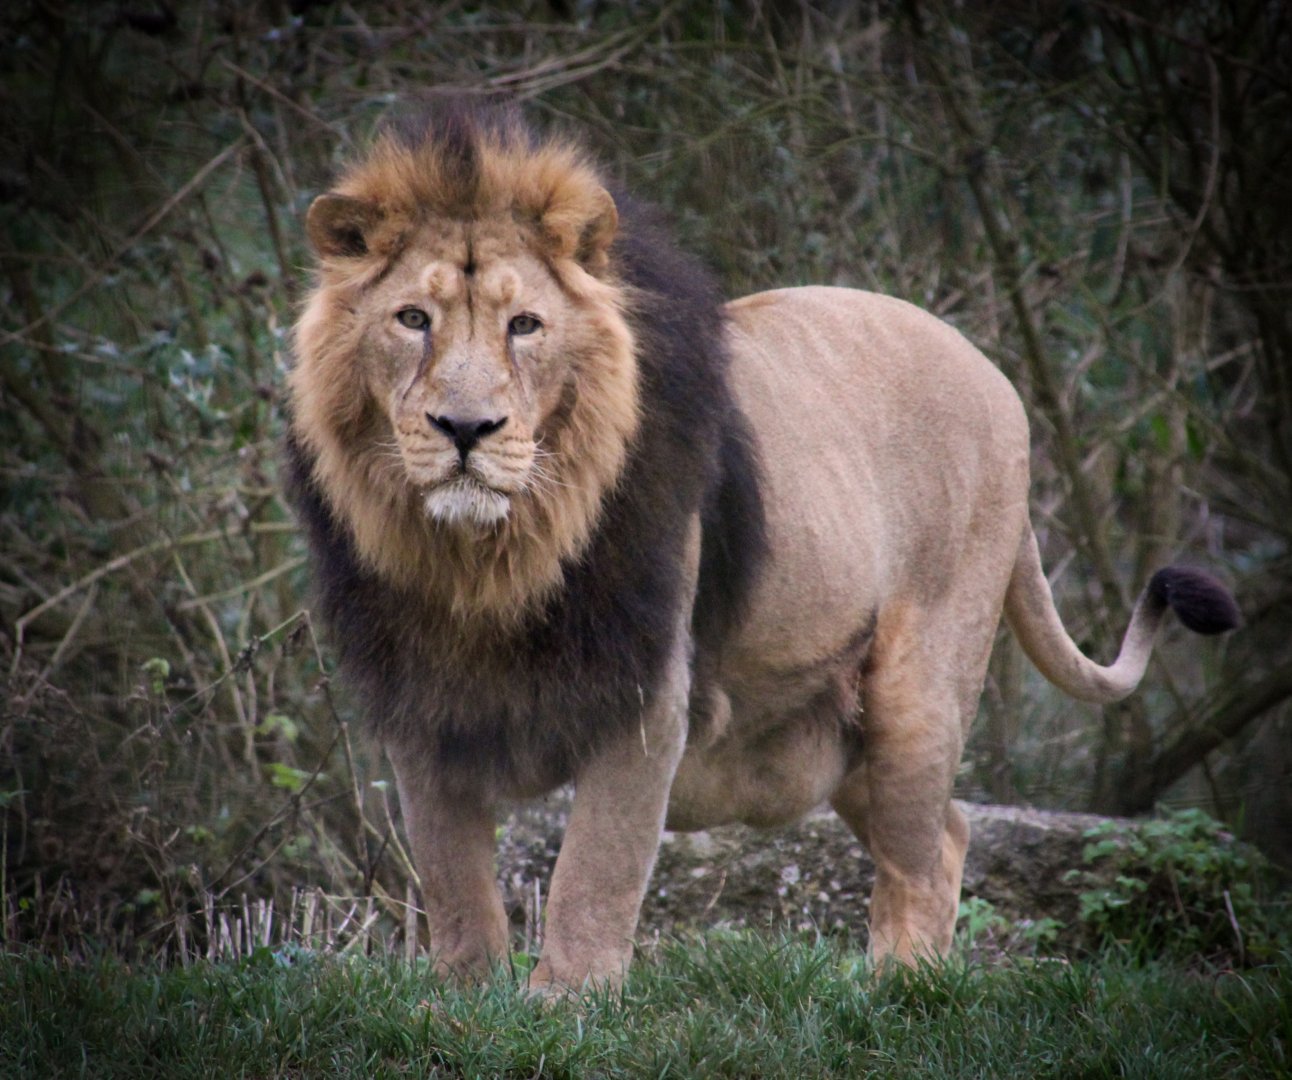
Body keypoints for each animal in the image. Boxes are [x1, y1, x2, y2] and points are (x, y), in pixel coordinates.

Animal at [284, 100, 1238, 991]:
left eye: (525, 325)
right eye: (412, 318)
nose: (465, 429)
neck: (486, 561)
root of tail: (996, 376)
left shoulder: (644, 694)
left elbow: (592, 873)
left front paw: (565, 1009)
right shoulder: (418, 703)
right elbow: (453, 880)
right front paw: (462, 1002)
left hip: (921, 684)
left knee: (919, 857)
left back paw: (898, 994)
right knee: (951, 831)